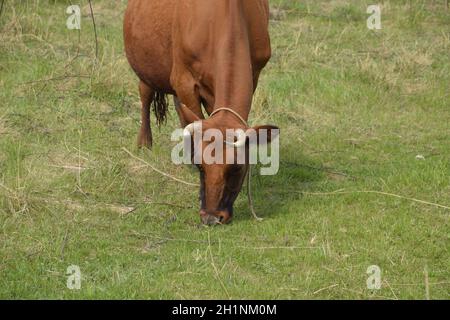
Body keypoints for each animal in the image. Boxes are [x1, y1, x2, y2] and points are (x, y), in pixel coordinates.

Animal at [123, 0, 278, 225]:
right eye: (200, 166)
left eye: (237, 167)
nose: (212, 217)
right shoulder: (183, 79)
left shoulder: (254, 72)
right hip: (148, 68)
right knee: (145, 95)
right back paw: (144, 142)